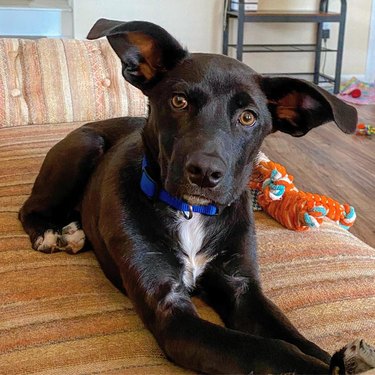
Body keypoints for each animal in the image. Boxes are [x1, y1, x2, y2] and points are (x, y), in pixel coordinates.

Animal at [19, 18, 360, 375]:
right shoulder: (169, 308)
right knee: (30, 208)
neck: (191, 213)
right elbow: (271, 350)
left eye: (248, 117)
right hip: (86, 145)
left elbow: (294, 337)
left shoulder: (242, 288)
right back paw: (52, 233)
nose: (205, 173)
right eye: (179, 101)